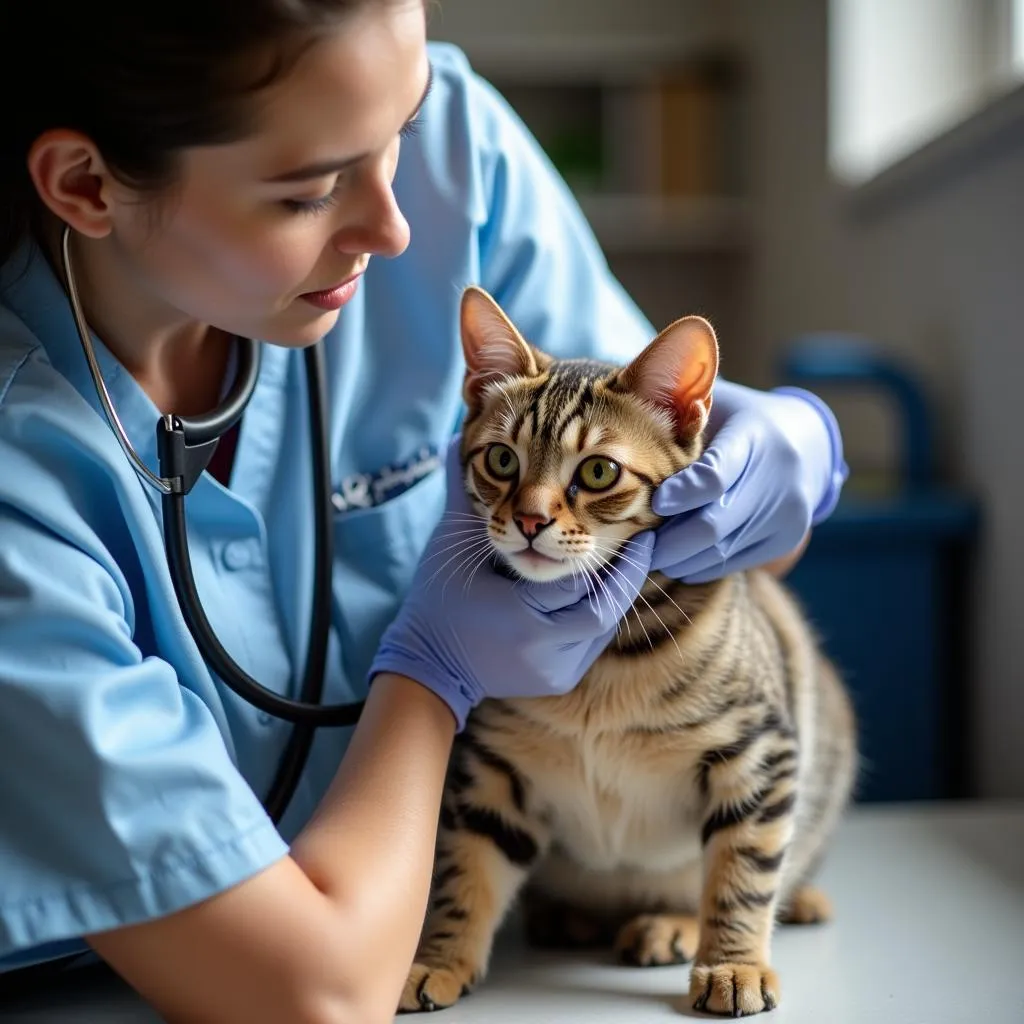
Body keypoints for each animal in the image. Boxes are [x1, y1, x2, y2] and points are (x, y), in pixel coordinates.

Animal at [399, 286, 856, 1015]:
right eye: (501, 460)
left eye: (598, 471)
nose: (529, 520)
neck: (604, 658)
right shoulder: (491, 769)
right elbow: (462, 873)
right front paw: (438, 958)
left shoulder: (759, 754)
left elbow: (743, 871)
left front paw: (734, 964)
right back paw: (570, 917)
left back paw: (684, 924)